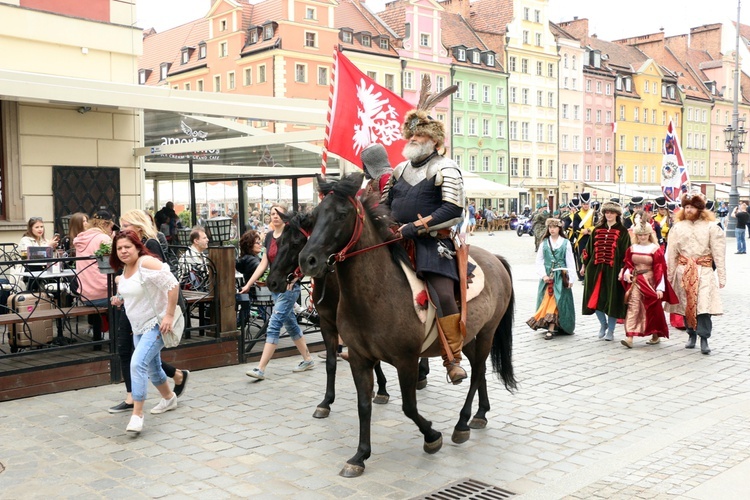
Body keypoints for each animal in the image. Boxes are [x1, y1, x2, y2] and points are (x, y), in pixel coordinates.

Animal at [298, 174, 516, 478]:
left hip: (486, 333)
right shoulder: (359, 358)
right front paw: (359, 456)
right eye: (314, 216)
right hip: (470, 337)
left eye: (341, 214)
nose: (307, 260)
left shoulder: (407, 360)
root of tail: (496, 259)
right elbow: (363, 406)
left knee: (476, 374)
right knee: (479, 370)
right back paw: (480, 414)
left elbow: (409, 406)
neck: (378, 292)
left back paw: (461, 424)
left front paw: (432, 437)